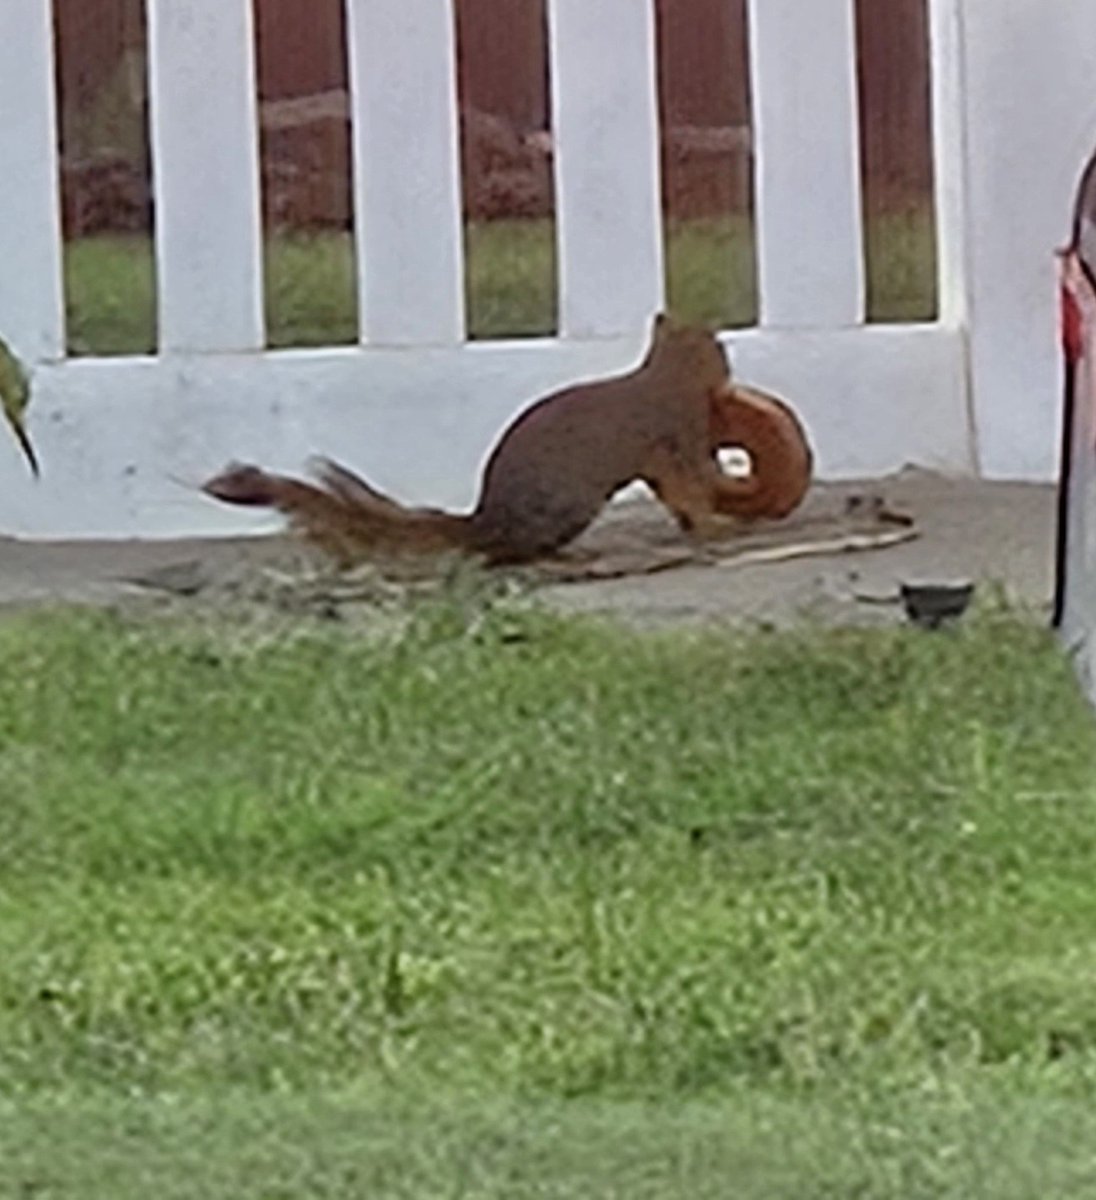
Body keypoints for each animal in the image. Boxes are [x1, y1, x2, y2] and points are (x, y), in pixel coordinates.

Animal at [203, 314, 812, 566]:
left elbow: (680, 495)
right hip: (566, 506)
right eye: (716, 345)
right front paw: (717, 521)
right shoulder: (677, 437)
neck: (663, 375)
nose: (729, 360)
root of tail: (484, 522)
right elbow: (695, 484)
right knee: (513, 554)